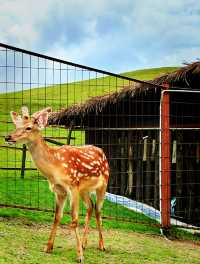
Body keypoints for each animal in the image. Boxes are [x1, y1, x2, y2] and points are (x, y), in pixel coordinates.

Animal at [5, 106, 109, 262]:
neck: (54, 168)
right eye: (16, 125)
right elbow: (56, 217)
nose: (8, 137)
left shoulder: (73, 185)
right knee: (90, 206)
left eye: (29, 127)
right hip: (84, 189)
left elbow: (74, 220)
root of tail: (102, 151)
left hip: (104, 183)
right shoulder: (59, 190)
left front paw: (79, 256)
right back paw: (84, 243)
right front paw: (48, 247)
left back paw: (102, 245)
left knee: (98, 209)